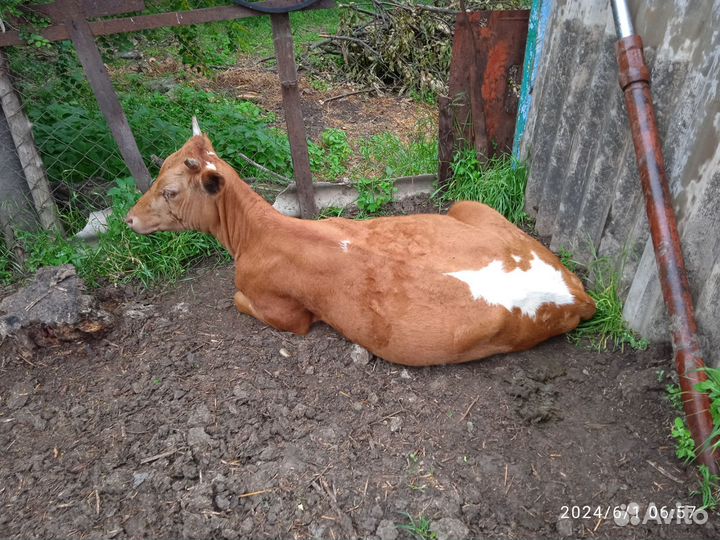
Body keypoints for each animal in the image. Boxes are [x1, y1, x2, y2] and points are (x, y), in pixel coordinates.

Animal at [125, 120, 595, 366]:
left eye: (170, 191)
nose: (129, 218)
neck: (257, 235)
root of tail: (579, 294)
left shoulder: (286, 314)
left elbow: (238, 300)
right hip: (475, 207)